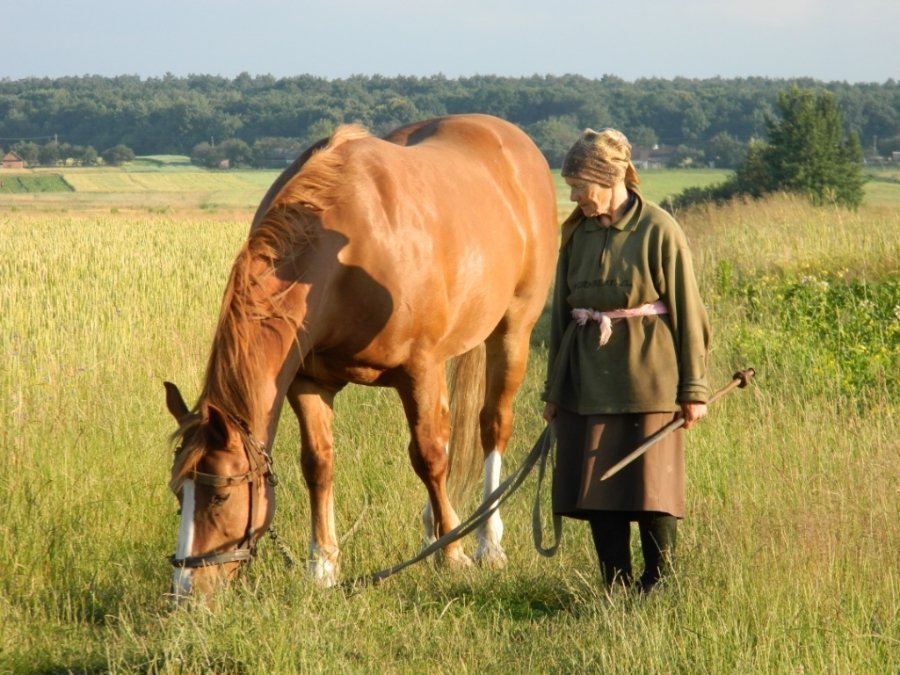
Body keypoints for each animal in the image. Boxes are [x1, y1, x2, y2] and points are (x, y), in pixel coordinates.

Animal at [164, 114, 558, 598]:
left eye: (219, 494)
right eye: (179, 492)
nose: (184, 590)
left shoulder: (418, 370)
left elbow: (429, 456)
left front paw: (454, 555)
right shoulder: (308, 382)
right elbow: (318, 464)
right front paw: (322, 567)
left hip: (513, 330)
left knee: (492, 426)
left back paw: (487, 542)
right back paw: (434, 530)